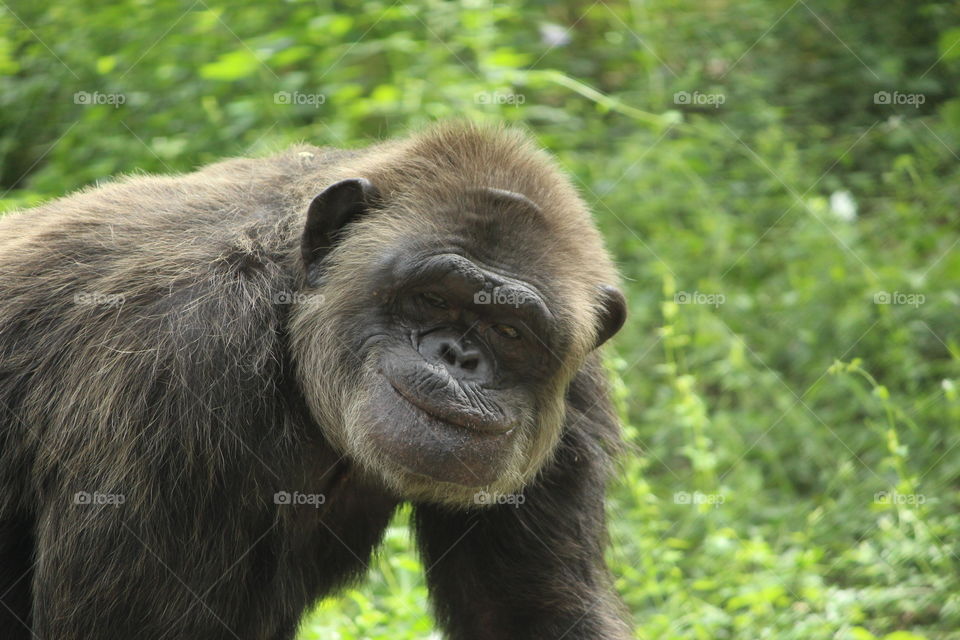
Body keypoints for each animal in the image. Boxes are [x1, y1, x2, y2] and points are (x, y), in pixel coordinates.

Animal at [0, 121, 630, 639]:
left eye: (509, 330)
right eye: (430, 297)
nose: (457, 356)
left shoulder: (577, 390)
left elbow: (522, 613)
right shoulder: (177, 365)